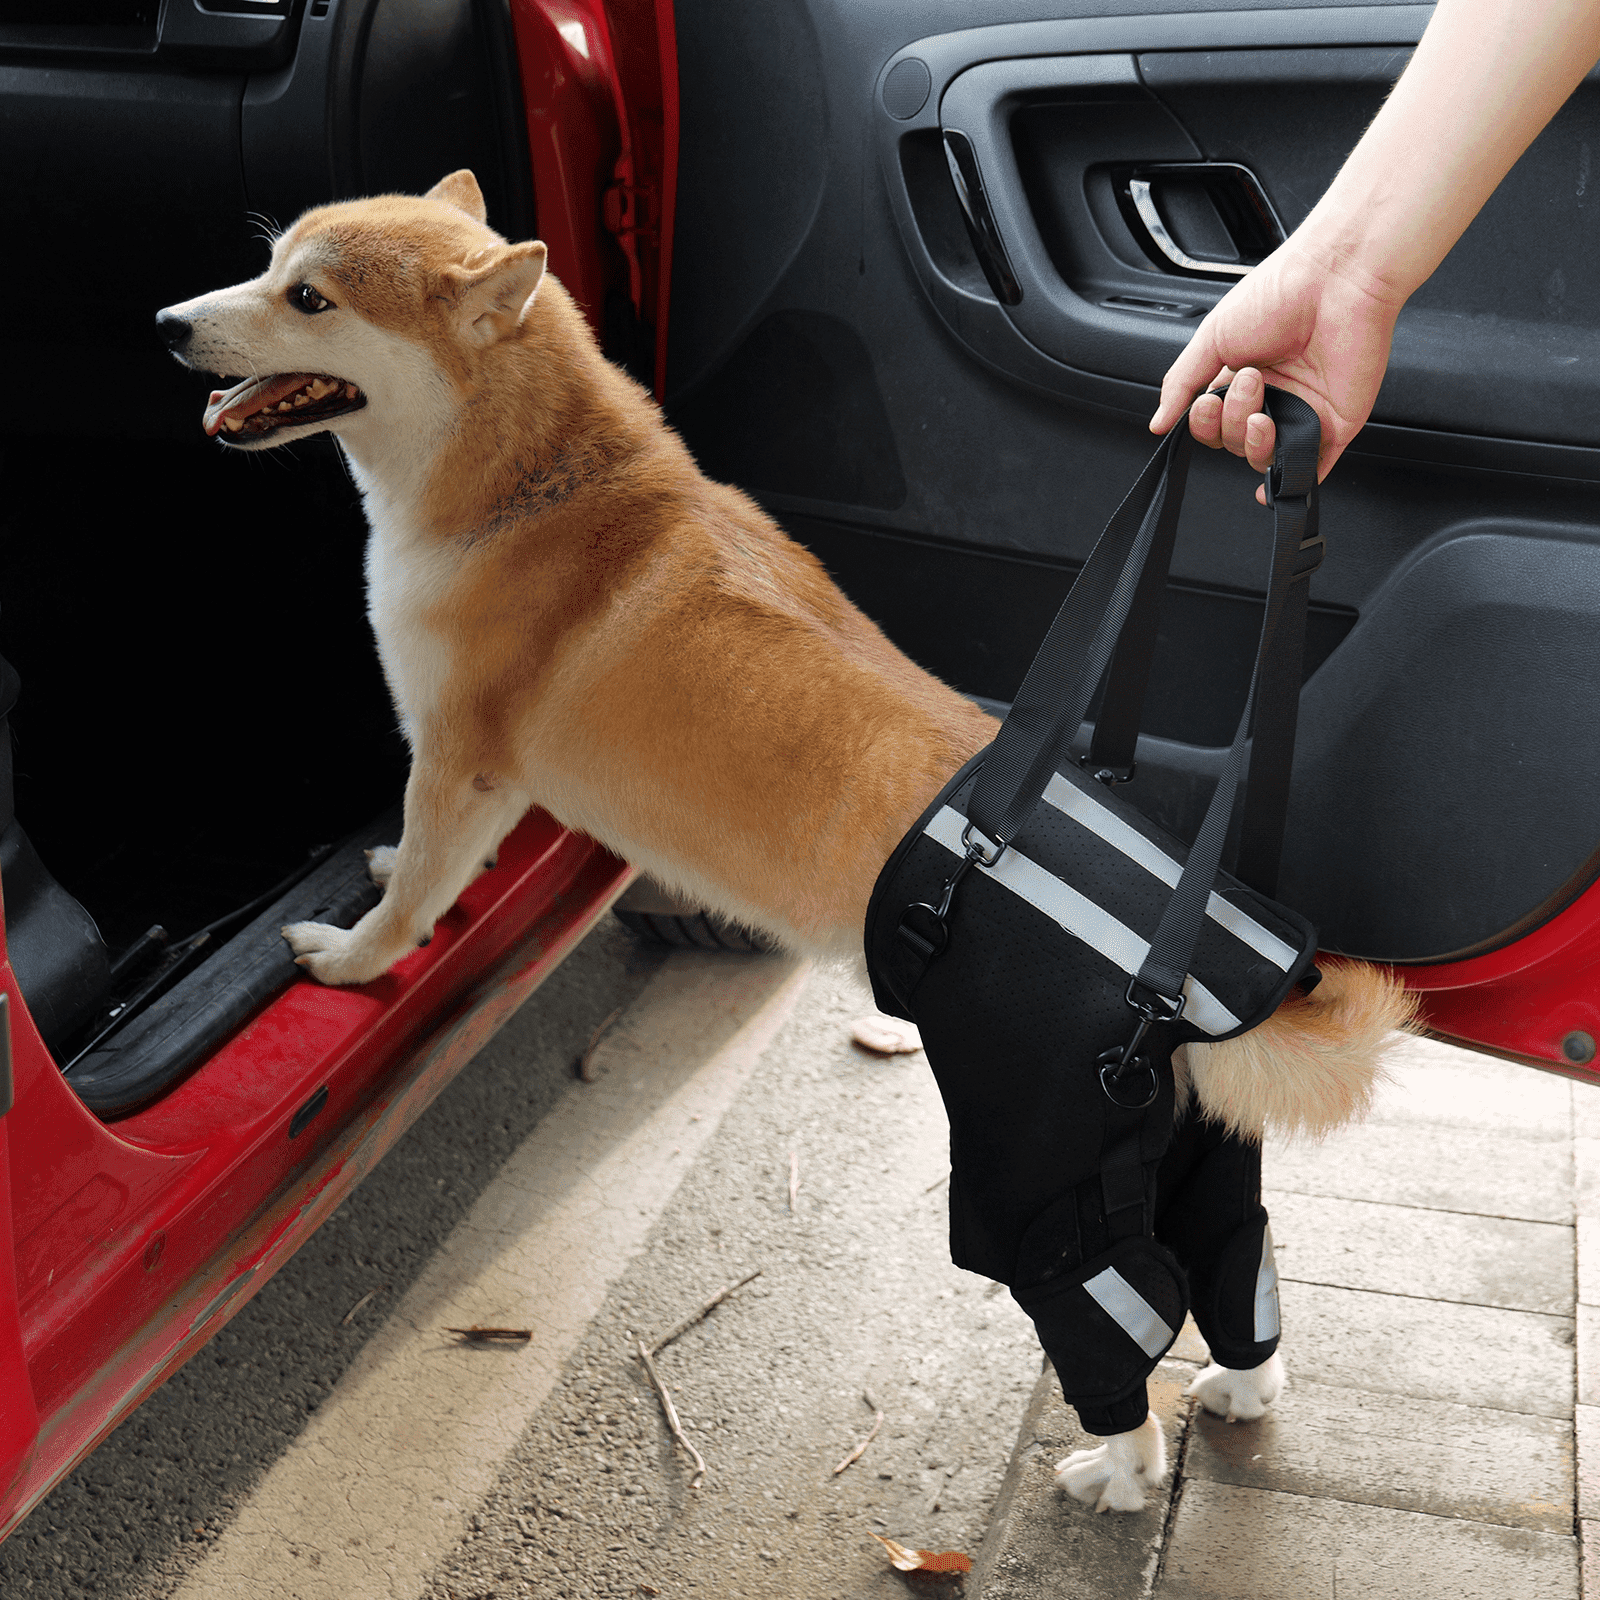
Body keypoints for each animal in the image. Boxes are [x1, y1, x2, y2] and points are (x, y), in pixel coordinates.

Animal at [156, 175, 1414, 1510]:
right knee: (1234, 1257)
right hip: (1197, 1155)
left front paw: (352, 956)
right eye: (271, 265)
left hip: (1029, 1184)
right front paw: (394, 875)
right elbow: (427, 869)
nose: (168, 325)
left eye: (307, 298)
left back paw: (1116, 1471)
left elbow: (410, 904)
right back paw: (1239, 1387)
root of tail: (1193, 974)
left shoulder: (457, 763)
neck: (533, 486)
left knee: (1124, 1303)